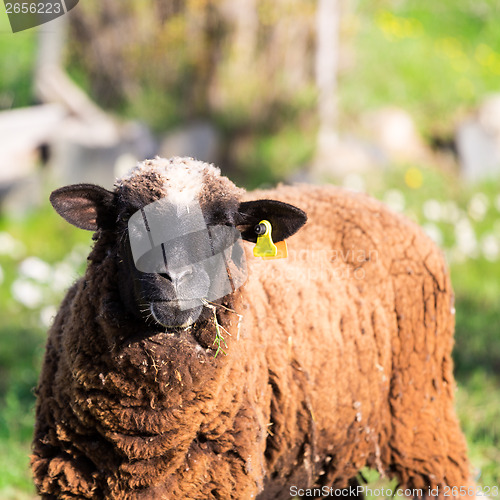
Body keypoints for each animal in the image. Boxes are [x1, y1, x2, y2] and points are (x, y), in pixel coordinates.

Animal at [33, 157, 474, 500]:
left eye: (224, 224)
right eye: (128, 219)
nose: (175, 277)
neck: (146, 431)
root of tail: (362, 197)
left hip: (422, 414)